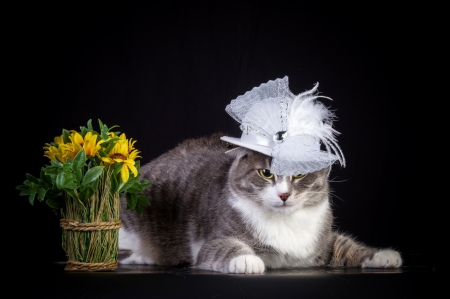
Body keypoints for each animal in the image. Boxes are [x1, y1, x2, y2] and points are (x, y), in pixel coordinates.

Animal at [118, 133, 402, 274]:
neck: (285, 223)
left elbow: (345, 244)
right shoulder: (213, 237)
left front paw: (382, 255)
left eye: (299, 174)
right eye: (266, 173)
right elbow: (222, 247)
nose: (284, 195)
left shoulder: (322, 239)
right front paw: (247, 260)